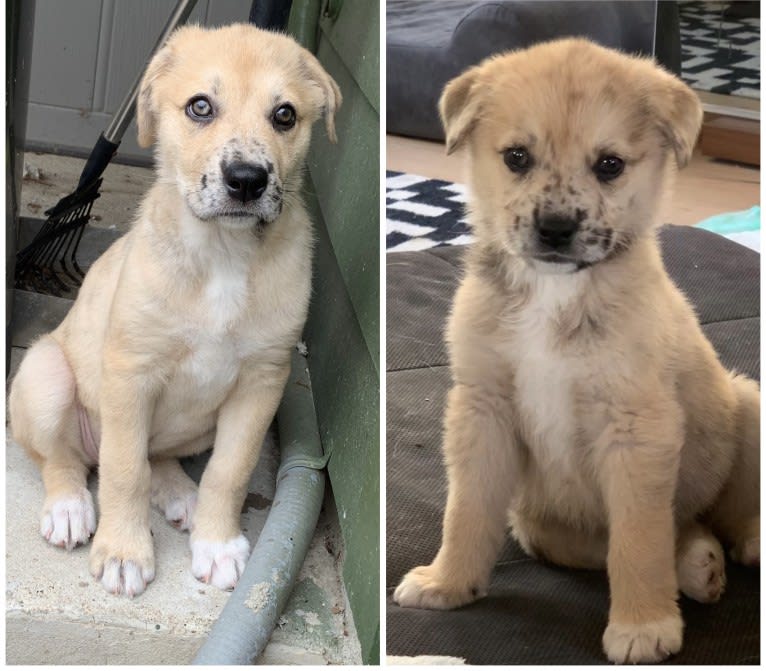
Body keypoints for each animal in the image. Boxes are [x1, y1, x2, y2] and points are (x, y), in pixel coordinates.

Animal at [10, 23, 342, 600]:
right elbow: (123, 471)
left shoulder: (263, 381)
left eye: (285, 115)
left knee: (157, 457)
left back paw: (180, 494)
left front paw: (217, 543)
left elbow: (229, 472)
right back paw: (70, 507)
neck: (224, 254)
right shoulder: (131, 371)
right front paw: (124, 552)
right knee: (64, 459)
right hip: (46, 377)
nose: (247, 180)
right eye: (200, 107)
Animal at [396, 38, 760, 668]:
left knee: (717, 517)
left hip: (747, 405)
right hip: (535, 521)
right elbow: (467, 510)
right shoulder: (483, 411)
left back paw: (741, 544)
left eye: (609, 165)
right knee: (673, 530)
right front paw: (449, 582)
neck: (555, 294)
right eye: (517, 157)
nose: (556, 228)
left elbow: (638, 539)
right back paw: (697, 564)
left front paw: (644, 625)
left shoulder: (636, 428)